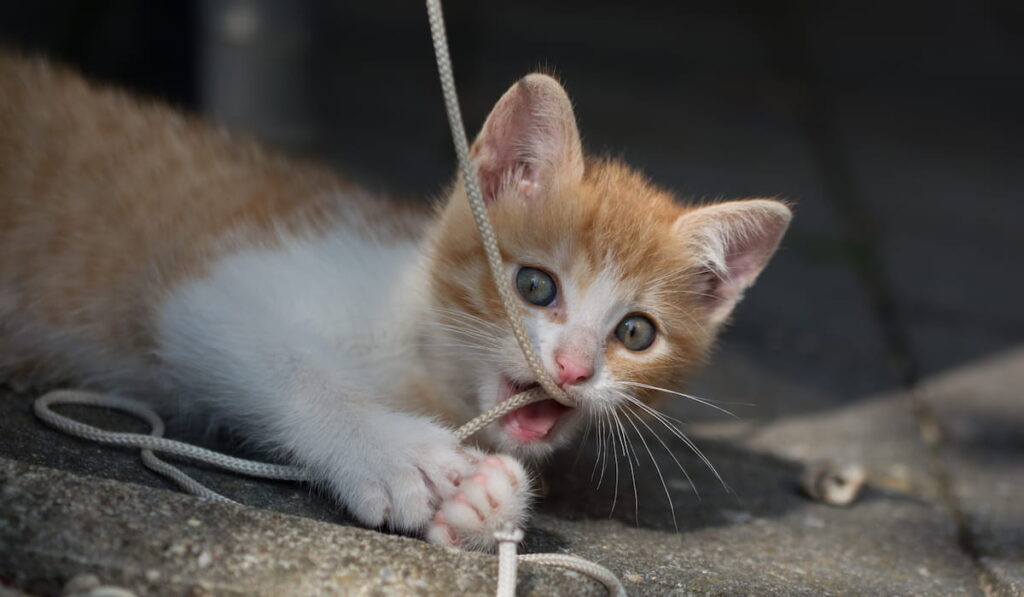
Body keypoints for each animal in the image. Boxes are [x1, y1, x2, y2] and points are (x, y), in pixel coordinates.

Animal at [0, 56, 790, 552]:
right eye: (535, 286)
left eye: (636, 332)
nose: (571, 368)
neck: (415, 350)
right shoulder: (216, 289)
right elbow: (282, 359)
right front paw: (392, 452)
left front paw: (487, 501)